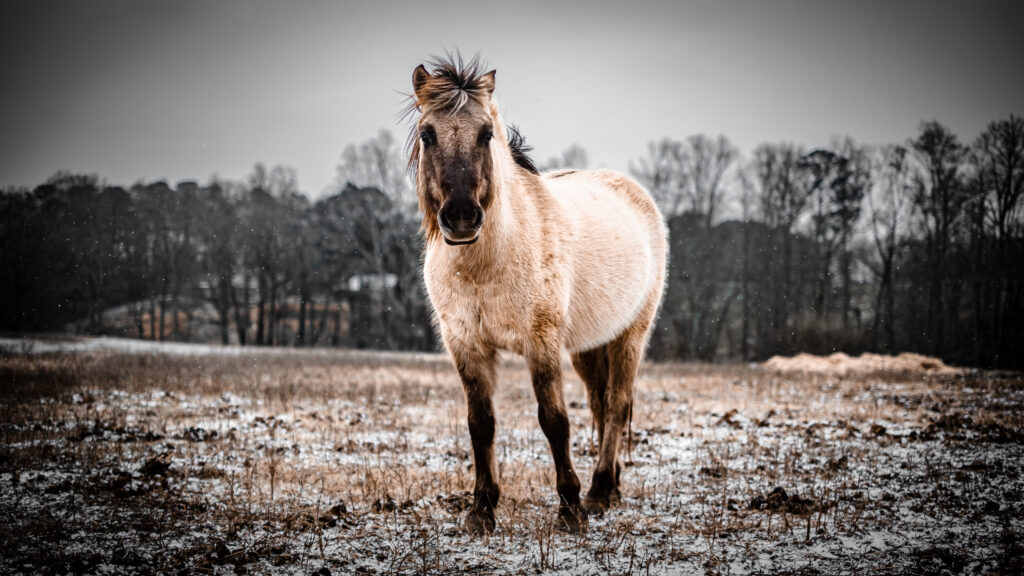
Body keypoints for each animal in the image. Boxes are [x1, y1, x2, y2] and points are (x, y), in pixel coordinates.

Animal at [407, 55, 667, 534]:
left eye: (486, 133)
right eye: (427, 133)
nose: (461, 217)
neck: (486, 264)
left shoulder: (541, 342)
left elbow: (554, 421)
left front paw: (570, 509)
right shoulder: (465, 344)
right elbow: (481, 424)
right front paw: (482, 510)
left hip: (630, 336)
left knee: (617, 405)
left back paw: (598, 492)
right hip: (588, 346)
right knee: (601, 405)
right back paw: (611, 488)